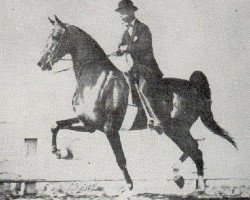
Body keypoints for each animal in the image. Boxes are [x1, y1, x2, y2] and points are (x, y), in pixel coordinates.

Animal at [36, 16, 236, 194]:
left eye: (56, 37)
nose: (41, 63)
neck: (96, 79)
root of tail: (194, 87)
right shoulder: (89, 125)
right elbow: (56, 126)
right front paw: (60, 152)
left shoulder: (109, 129)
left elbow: (120, 159)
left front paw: (128, 186)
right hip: (178, 130)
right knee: (194, 148)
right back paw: (179, 178)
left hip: (176, 129)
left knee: (195, 151)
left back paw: (197, 186)